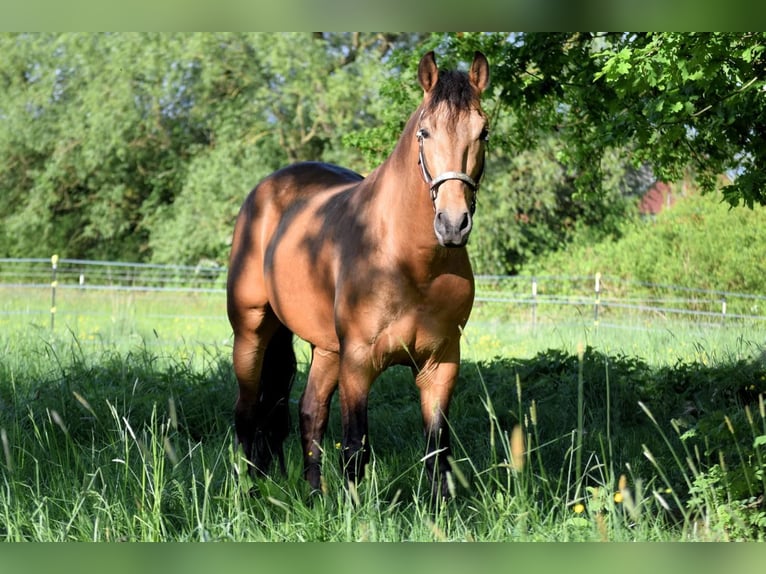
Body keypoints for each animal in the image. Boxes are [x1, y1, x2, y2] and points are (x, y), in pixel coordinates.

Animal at [226, 50, 490, 499]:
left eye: (483, 132)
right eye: (424, 133)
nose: (453, 224)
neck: (411, 264)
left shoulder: (441, 363)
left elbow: (437, 448)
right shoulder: (359, 361)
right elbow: (355, 445)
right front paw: (355, 509)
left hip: (325, 349)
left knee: (309, 411)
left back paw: (314, 496)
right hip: (251, 333)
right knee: (247, 413)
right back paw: (248, 492)